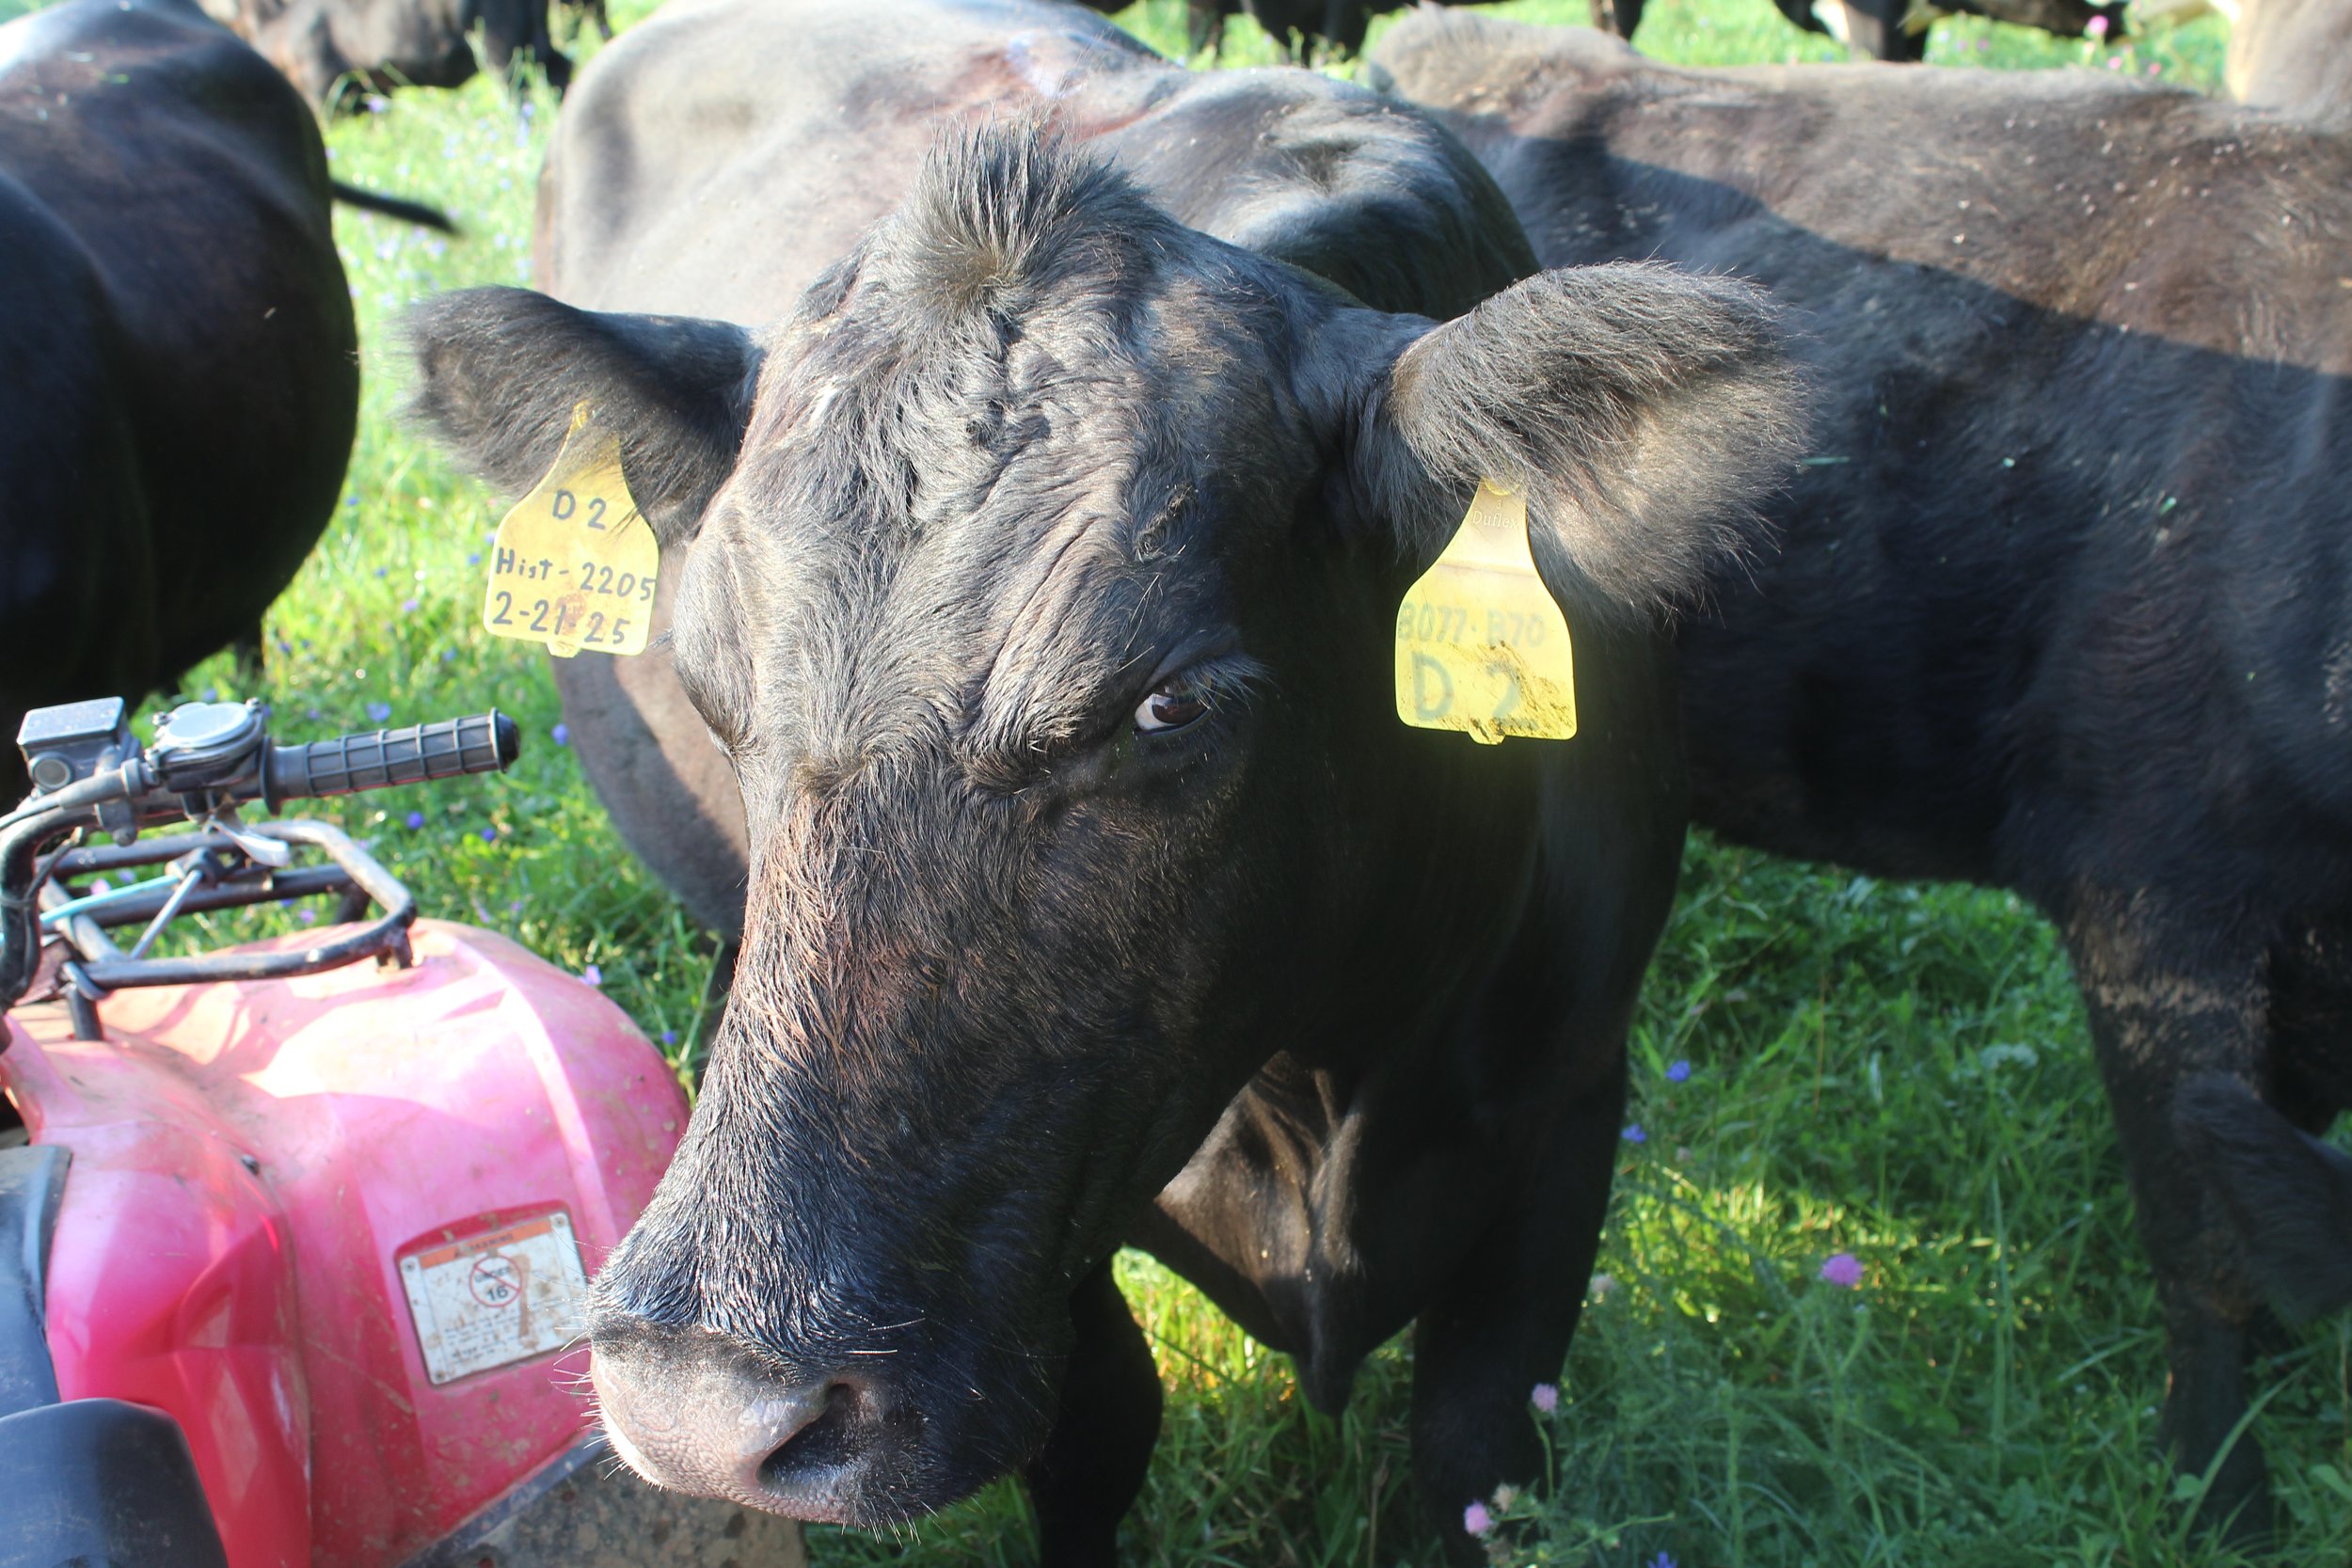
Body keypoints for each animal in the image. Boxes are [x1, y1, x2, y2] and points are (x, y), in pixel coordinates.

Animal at [404, 0, 1801, 1560]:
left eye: (1165, 701)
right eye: (712, 690)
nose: (702, 1400)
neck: (1336, 1073)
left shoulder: (1567, 1114)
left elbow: (1475, 1458)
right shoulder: (1042, 1235)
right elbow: (1100, 1431)